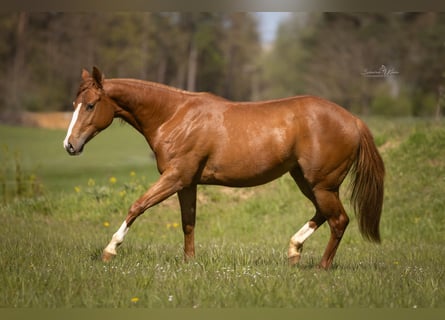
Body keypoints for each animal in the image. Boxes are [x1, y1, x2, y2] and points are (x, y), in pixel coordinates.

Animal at [64, 67, 384, 270]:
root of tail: (353, 120)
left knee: (339, 220)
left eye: (90, 105)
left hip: (322, 184)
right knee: (324, 215)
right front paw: (189, 262)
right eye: (75, 103)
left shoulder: (175, 177)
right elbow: (188, 222)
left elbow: (137, 206)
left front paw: (110, 250)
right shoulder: (187, 183)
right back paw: (294, 250)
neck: (174, 116)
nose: (69, 145)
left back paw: (321, 266)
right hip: (307, 181)